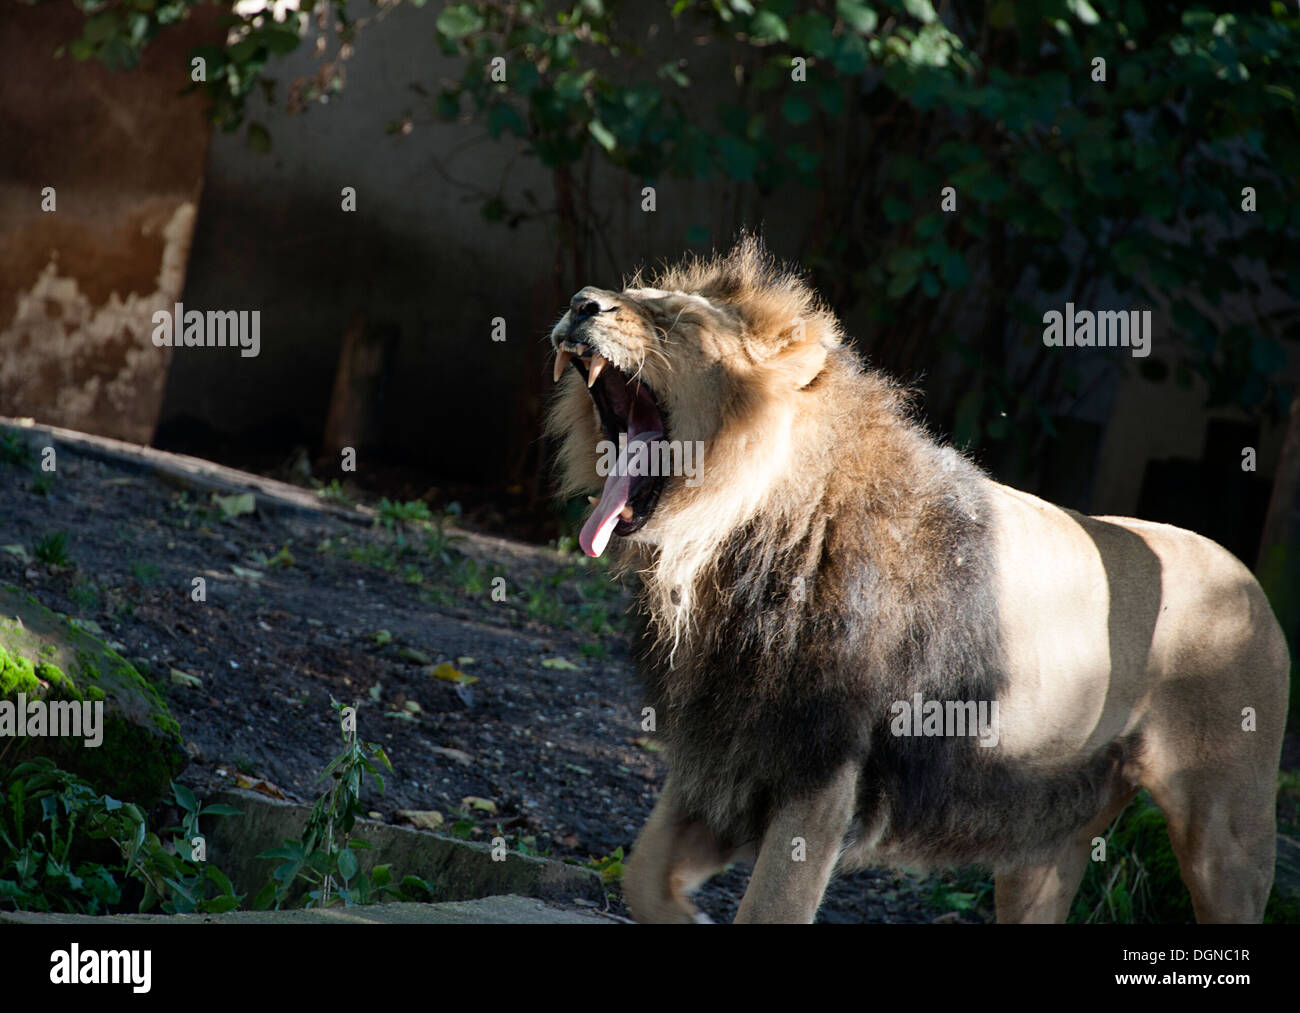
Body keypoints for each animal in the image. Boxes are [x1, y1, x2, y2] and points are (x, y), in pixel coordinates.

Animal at [540, 237, 1289, 925]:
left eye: (677, 321)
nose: (580, 303)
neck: (731, 546)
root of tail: (1254, 587)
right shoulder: (725, 752)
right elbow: (643, 874)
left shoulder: (822, 770)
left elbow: (768, 909)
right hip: (1047, 838)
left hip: (1227, 835)